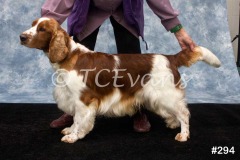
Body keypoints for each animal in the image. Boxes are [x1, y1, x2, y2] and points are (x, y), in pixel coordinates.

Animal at [20, 17, 221, 144]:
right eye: (32, 25)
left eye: (42, 29)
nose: (21, 37)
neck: (69, 56)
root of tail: (169, 58)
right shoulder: (72, 98)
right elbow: (75, 119)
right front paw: (70, 130)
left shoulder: (83, 100)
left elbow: (79, 119)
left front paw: (73, 136)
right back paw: (172, 123)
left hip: (166, 94)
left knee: (184, 113)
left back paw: (183, 135)